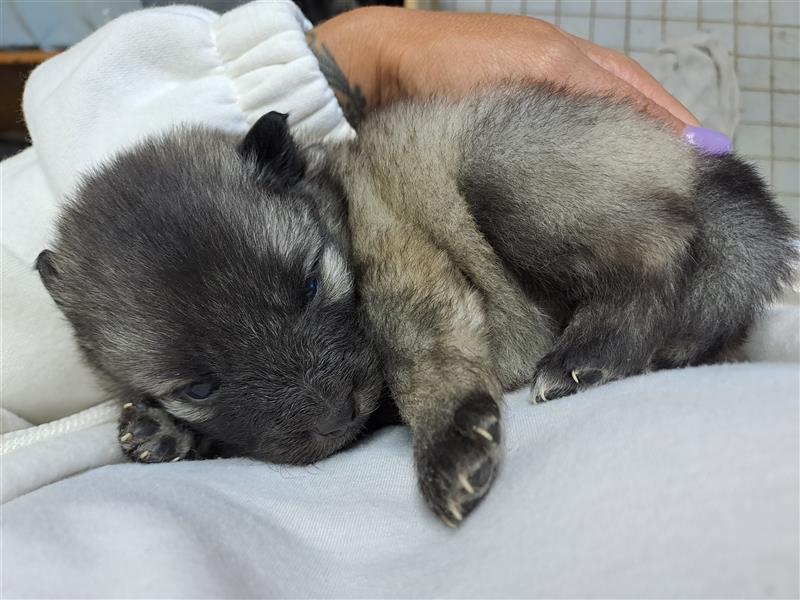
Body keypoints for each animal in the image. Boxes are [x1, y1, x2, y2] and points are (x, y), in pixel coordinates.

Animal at [36, 84, 792, 524]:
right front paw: (168, 431)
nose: (334, 418)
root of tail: (696, 165)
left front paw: (448, 436)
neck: (337, 202)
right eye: (198, 386)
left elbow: (419, 361)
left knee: (659, 253)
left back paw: (592, 351)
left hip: (504, 170)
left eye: (311, 286)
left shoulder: (408, 278)